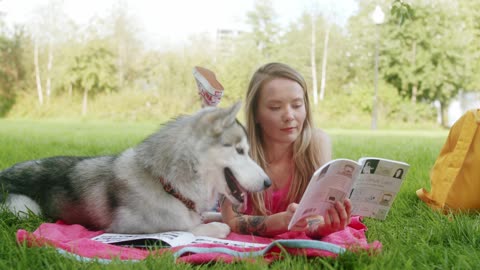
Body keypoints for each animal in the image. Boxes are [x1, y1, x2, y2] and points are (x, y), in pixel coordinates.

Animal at [0, 102, 270, 237]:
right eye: (240, 151)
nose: (269, 183)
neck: (168, 184)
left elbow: (210, 217)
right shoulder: (127, 228)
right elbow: (191, 228)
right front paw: (214, 227)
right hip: (24, 209)